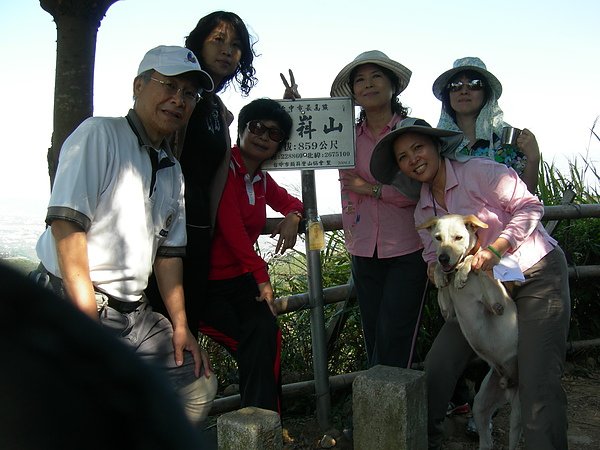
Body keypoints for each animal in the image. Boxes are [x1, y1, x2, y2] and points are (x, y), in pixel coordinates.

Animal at [418, 214, 520, 450]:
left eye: (458, 237)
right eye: (437, 238)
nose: (443, 258)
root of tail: (509, 383)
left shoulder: (498, 306)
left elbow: (476, 262)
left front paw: (466, 269)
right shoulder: (448, 313)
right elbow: (442, 281)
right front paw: (440, 275)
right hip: (482, 403)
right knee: (486, 438)